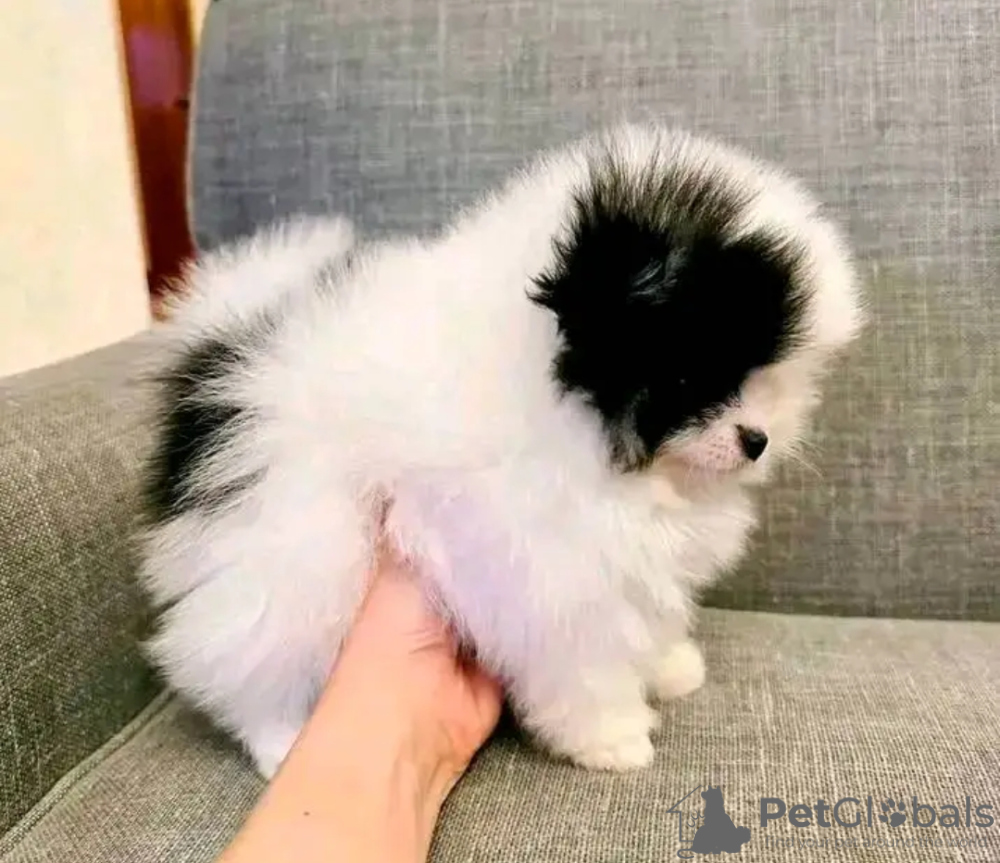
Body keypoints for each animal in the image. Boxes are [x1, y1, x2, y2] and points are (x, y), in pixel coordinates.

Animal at [139, 124, 863, 776]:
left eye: (769, 378)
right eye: (690, 378)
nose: (757, 439)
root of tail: (224, 343)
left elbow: (647, 623)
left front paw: (668, 666)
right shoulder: (550, 575)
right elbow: (585, 665)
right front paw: (611, 738)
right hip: (294, 540)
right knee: (250, 648)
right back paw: (281, 742)